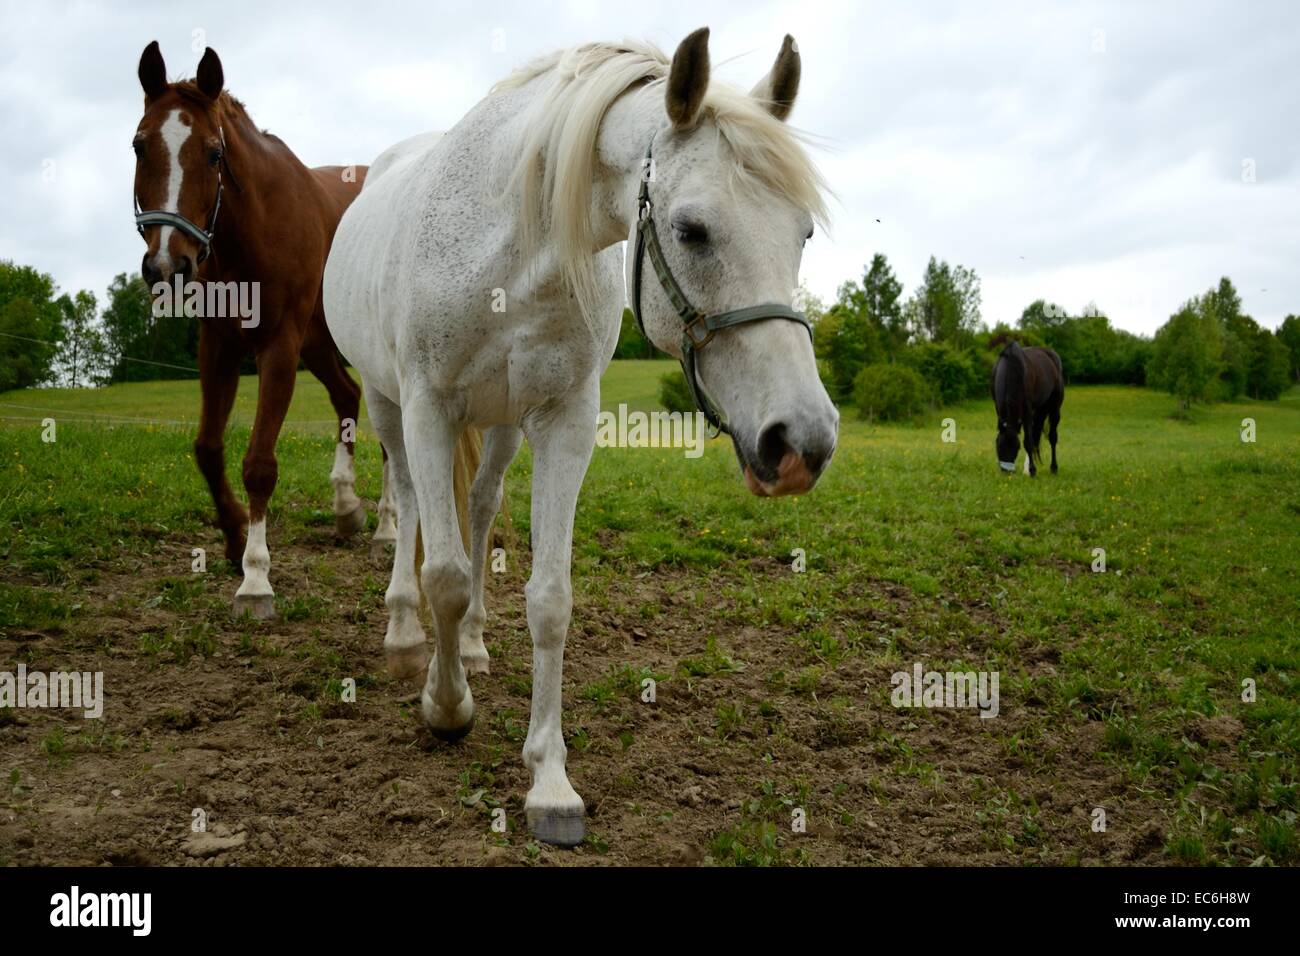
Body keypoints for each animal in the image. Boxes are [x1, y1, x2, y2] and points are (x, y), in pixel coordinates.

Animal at [132, 42, 478, 617]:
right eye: (139, 146)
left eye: (213, 153)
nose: (167, 265)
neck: (254, 225)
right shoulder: (218, 345)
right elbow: (207, 447)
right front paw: (233, 538)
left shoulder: (278, 347)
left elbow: (259, 463)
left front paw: (255, 578)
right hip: (320, 345)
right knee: (347, 395)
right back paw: (346, 506)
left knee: (388, 439)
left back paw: (385, 526)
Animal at [323, 28, 838, 845]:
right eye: (692, 230)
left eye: (803, 232)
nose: (802, 442)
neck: (509, 244)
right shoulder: (429, 408)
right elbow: (444, 574)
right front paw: (445, 706)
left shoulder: (562, 420)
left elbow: (549, 599)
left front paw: (549, 780)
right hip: (385, 402)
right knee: (406, 501)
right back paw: (407, 637)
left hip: (502, 425)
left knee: (480, 507)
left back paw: (472, 642)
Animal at [991, 341, 1064, 476]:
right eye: (999, 446)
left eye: (1016, 447)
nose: (1007, 472)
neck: (1011, 367)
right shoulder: (998, 410)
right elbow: (1031, 439)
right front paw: (1030, 470)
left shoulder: (1027, 413)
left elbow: (1028, 442)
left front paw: (1033, 470)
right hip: (1040, 409)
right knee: (1036, 434)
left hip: (1054, 408)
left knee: (1052, 437)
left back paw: (1053, 468)